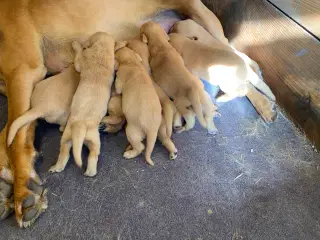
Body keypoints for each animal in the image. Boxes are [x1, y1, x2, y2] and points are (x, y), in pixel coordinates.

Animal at [48, 32, 115, 176]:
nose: (83, 42)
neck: (102, 51)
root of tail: (81, 125)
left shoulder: (81, 62)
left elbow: (78, 59)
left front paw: (76, 44)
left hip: (74, 137)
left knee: (68, 153)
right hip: (85, 139)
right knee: (80, 155)